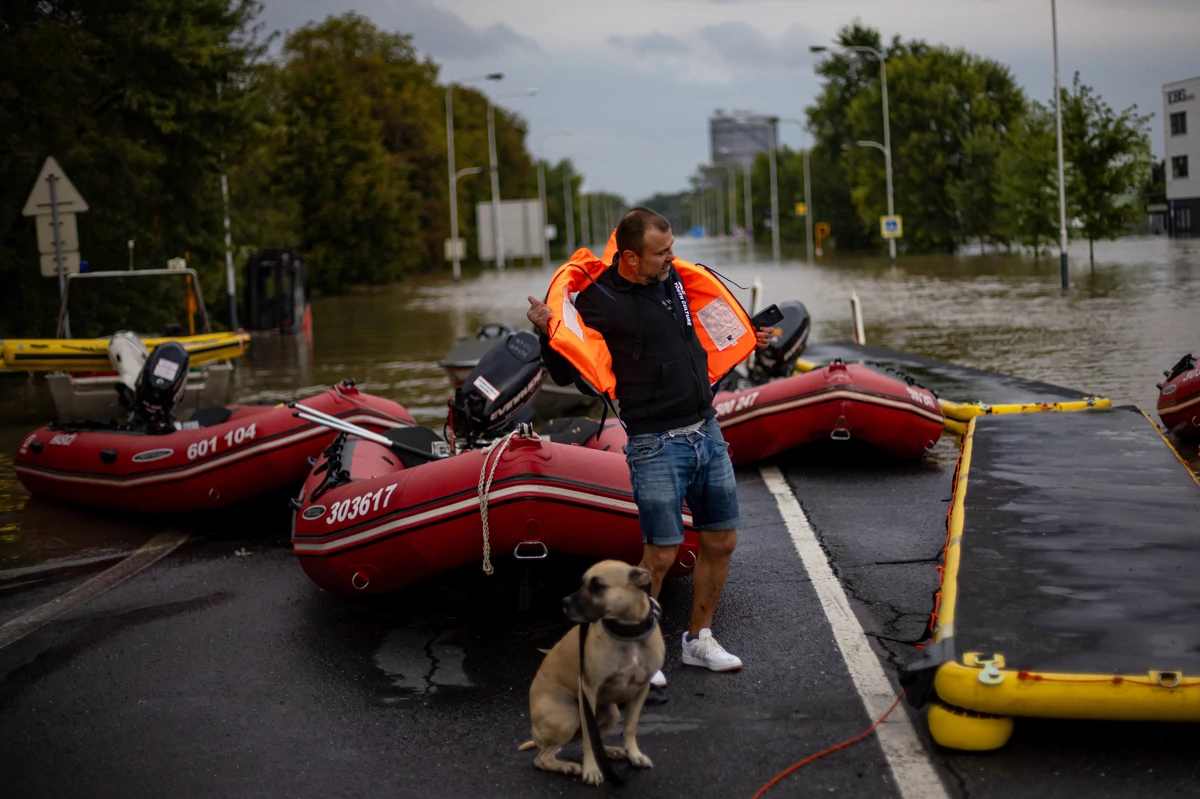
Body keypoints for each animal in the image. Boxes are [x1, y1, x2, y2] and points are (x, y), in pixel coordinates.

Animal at [518, 556, 667, 782]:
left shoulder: (642, 689)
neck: (627, 632)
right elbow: (590, 738)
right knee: (543, 758)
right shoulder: (589, 691)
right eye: (582, 583)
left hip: (611, 713)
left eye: (597, 586)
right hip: (568, 718)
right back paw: (568, 766)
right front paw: (591, 769)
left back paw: (611, 752)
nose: (564, 602)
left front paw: (634, 754)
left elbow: (630, 727)